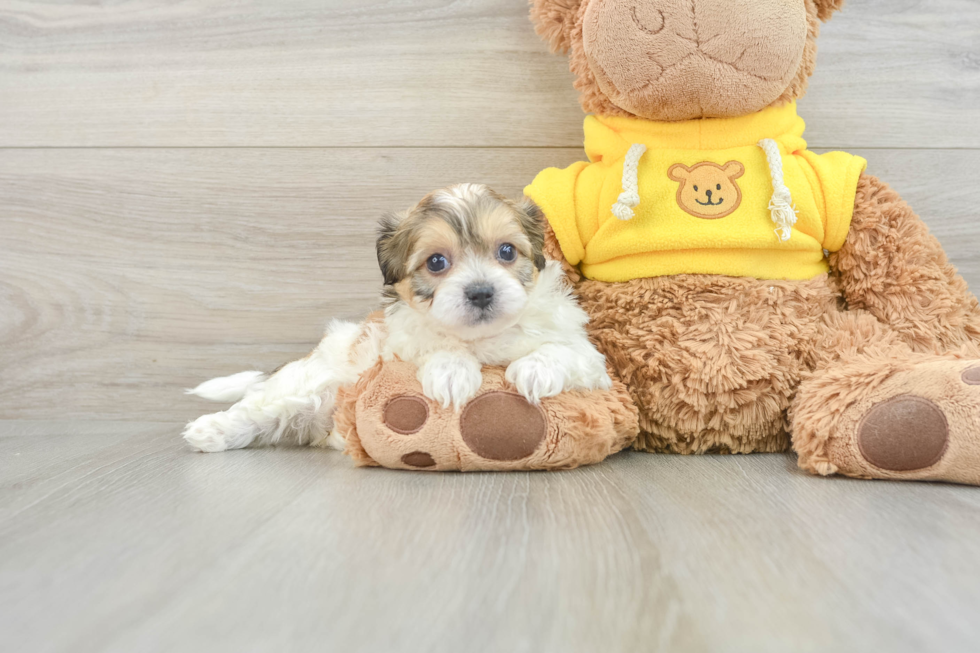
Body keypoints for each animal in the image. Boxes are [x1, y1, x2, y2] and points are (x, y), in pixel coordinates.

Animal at [183, 181, 608, 450]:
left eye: (506, 252)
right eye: (436, 262)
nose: (481, 292)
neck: (481, 340)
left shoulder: (592, 363)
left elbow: (563, 349)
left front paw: (537, 370)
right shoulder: (395, 349)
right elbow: (433, 345)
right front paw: (451, 371)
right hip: (308, 385)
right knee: (260, 410)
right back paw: (209, 431)